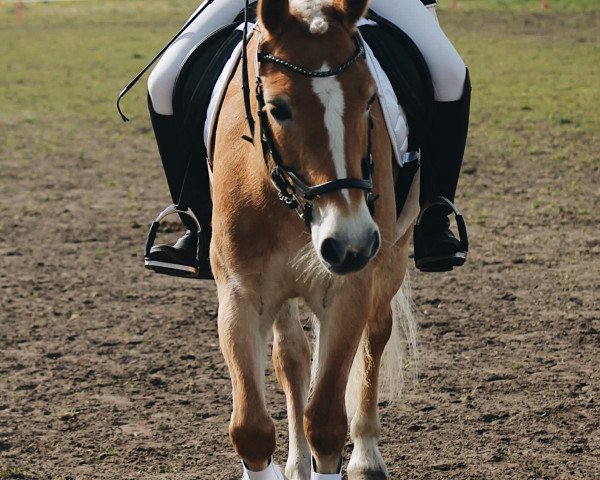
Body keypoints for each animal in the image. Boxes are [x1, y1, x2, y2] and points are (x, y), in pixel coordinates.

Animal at [211, 0, 422, 480]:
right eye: (279, 108)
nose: (351, 242)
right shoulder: (240, 297)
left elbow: (325, 421)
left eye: (369, 99)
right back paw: (296, 462)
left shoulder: (347, 291)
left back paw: (366, 455)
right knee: (292, 356)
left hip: (392, 256)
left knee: (375, 335)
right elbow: (250, 429)